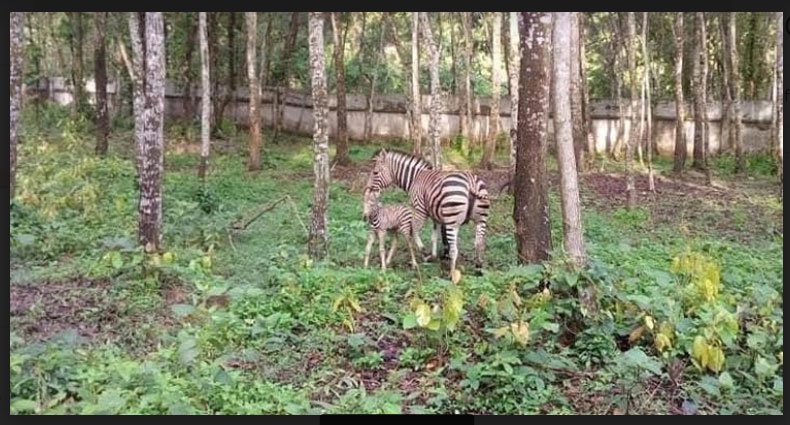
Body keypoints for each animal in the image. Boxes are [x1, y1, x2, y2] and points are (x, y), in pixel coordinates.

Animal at [364, 148, 490, 276]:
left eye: (375, 173)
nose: (367, 189)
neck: (415, 178)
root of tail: (471, 182)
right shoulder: (436, 215)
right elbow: (435, 235)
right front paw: (436, 255)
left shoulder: (419, 209)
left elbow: (414, 231)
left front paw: (425, 253)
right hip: (481, 220)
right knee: (479, 243)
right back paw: (478, 269)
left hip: (453, 222)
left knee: (455, 249)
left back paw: (451, 275)